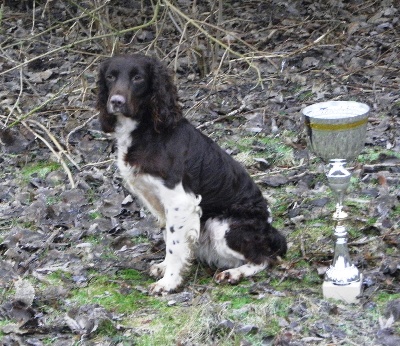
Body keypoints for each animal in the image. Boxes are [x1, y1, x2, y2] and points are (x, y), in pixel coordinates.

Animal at [95, 54, 286, 294]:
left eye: (138, 77)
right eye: (110, 77)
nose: (116, 101)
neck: (147, 130)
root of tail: (271, 231)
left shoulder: (180, 200)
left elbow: (175, 245)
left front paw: (168, 282)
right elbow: (169, 236)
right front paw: (164, 268)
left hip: (221, 226)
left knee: (265, 258)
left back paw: (233, 274)